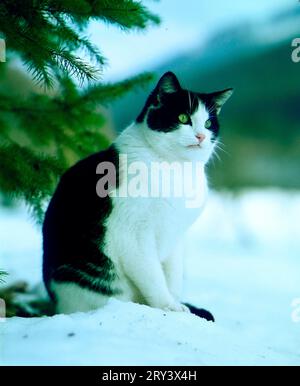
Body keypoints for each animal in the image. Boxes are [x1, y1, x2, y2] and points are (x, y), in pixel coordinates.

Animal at [43, 72, 233, 320]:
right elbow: (152, 275)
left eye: (209, 123)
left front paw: (177, 306)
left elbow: (172, 275)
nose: (201, 136)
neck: (175, 169)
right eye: (183, 117)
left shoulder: (176, 235)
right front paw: (169, 306)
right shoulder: (133, 234)